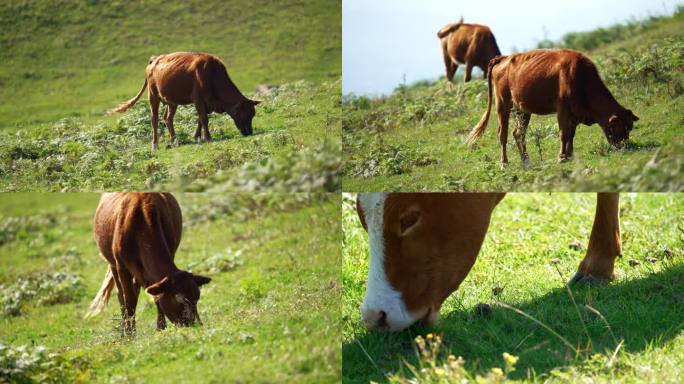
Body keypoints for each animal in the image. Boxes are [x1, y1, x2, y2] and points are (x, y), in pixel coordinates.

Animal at [87, 194, 212, 334]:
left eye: (197, 298)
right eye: (179, 299)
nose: (196, 325)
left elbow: (156, 297)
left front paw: (161, 328)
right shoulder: (122, 267)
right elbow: (128, 300)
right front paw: (129, 334)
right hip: (113, 264)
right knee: (121, 296)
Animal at [108, 52, 260, 150]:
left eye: (253, 114)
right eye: (245, 114)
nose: (249, 132)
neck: (211, 74)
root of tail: (154, 60)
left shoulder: (206, 103)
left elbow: (200, 119)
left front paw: (197, 137)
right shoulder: (198, 99)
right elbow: (204, 119)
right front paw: (208, 138)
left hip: (171, 101)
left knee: (168, 119)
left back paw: (174, 141)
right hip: (153, 96)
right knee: (154, 119)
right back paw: (155, 144)